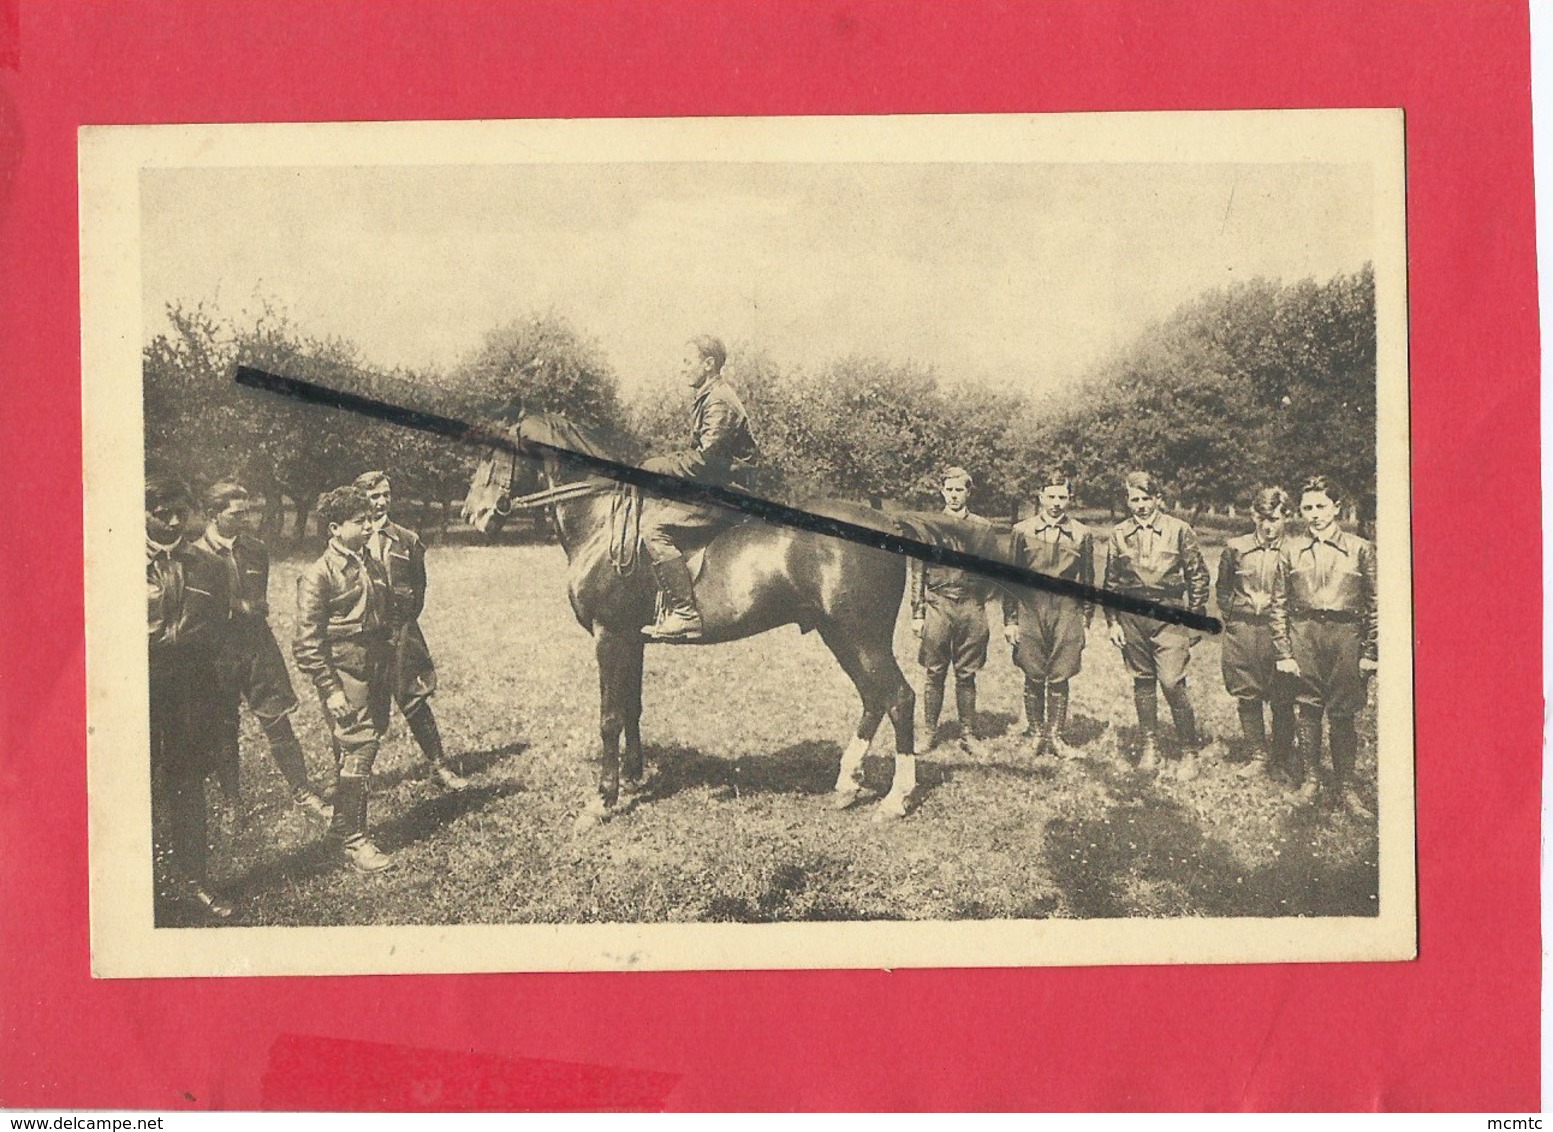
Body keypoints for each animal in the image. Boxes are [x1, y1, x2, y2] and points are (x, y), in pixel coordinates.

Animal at [459, 409, 944, 826]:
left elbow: (610, 716)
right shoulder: (631, 639)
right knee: (873, 699)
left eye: (492, 455)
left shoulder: (609, 635)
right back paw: (847, 784)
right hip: (838, 634)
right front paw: (633, 779)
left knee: (898, 698)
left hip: (861, 635)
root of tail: (890, 522)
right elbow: (632, 707)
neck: (601, 521)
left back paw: (896, 799)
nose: (472, 514)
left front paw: (603, 800)